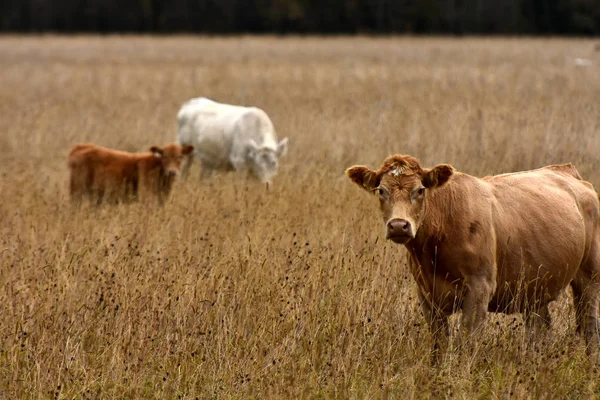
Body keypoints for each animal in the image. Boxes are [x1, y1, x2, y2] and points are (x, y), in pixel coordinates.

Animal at [346, 155, 600, 360]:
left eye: (419, 190)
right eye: (381, 191)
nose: (399, 225)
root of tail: (567, 171)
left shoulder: (480, 289)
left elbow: (466, 344)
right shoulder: (426, 295)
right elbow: (439, 346)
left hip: (588, 278)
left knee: (589, 327)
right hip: (533, 290)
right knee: (540, 331)